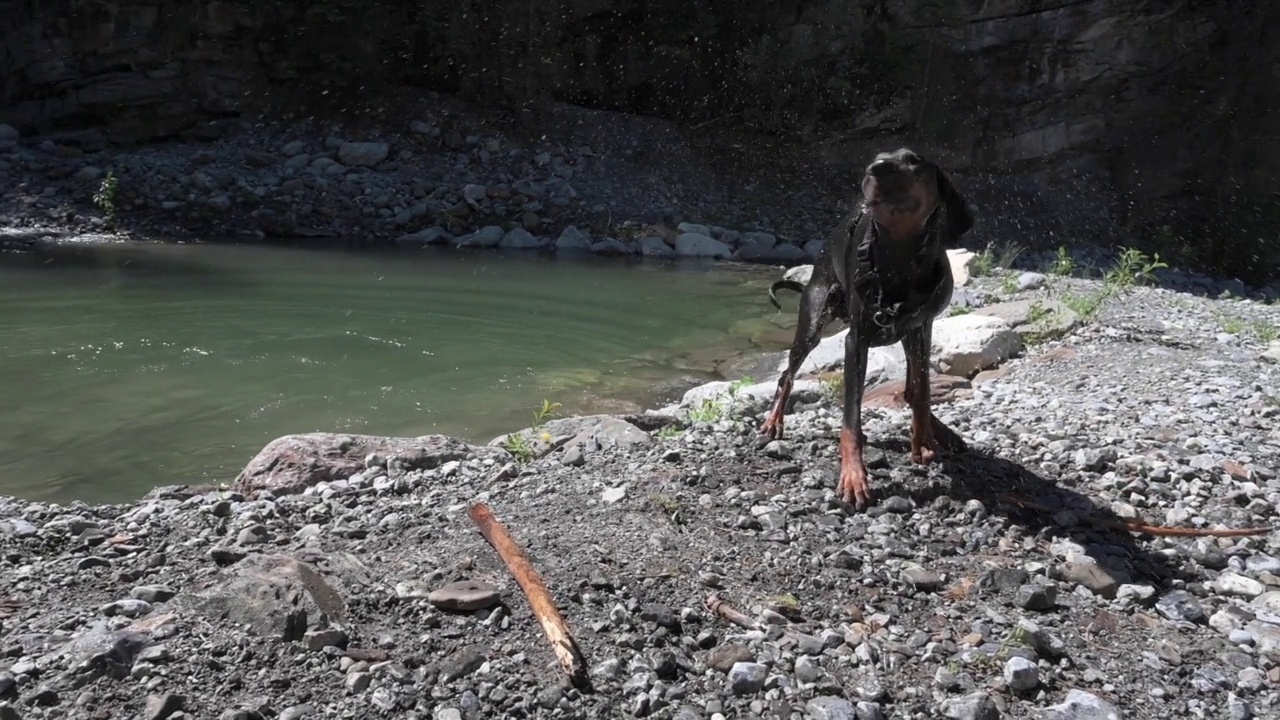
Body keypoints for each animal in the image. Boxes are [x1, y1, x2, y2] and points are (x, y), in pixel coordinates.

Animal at [762, 147, 972, 504]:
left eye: (913, 160)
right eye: (874, 159)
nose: (878, 167)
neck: (898, 260)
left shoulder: (921, 327)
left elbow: (922, 391)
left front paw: (923, 441)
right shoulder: (855, 342)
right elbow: (850, 420)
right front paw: (853, 476)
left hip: (906, 334)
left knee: (912, 386)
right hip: (813, 320)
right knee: (786, 375)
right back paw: (774, 421)